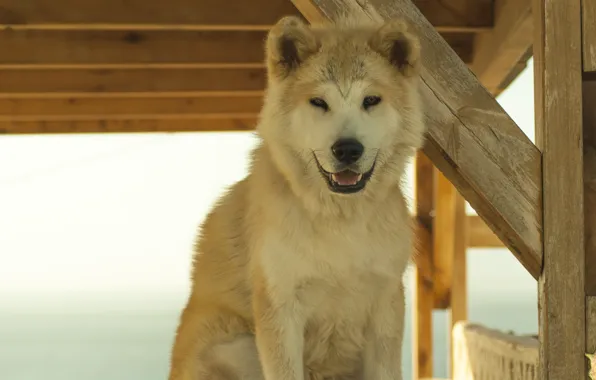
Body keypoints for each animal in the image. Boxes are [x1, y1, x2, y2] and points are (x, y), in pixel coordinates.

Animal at [170, 14, 426, 380]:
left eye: (371, 100)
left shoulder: (385, 306)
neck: (340, 225)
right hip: (235, 344)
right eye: (319, 102)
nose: (347, 149)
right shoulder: (281, 310)